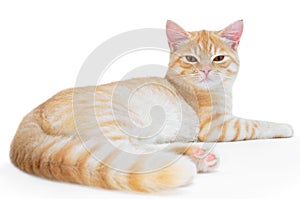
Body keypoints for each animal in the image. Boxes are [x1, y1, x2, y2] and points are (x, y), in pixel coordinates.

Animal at [9, 20, 292, 193]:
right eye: (191, 59)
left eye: (218, 58)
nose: (205, 70)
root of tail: (31, 114)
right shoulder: (217, 126)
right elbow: (255, 124)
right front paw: (285, 126)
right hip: (114, 125)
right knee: (126, 155)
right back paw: (194, 159)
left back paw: (196, 157)